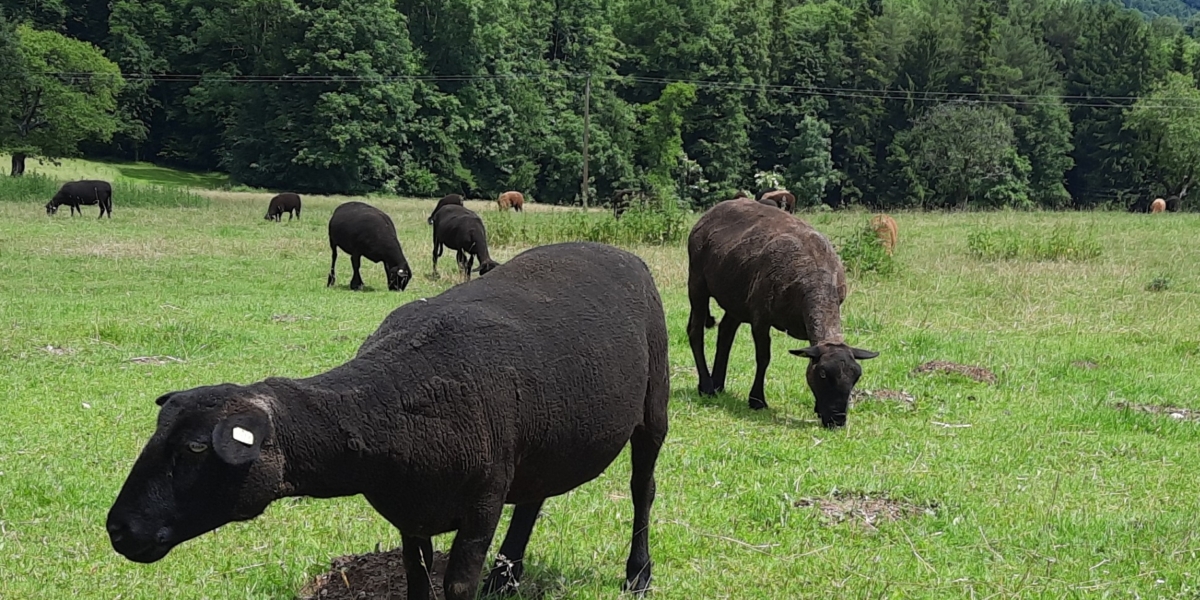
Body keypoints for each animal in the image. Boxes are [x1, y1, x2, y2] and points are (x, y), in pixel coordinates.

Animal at [108, 241, 672, 600]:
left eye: (194, 449)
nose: (118, 528)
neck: (389, 404)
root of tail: (618, 252)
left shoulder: (482, 503)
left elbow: (457, 587)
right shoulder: (410, 513)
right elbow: (418, 586)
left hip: (653, 406)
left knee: (642, 488)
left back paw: (638, 576)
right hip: (542, 434)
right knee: (534, 497)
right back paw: (506, 580)